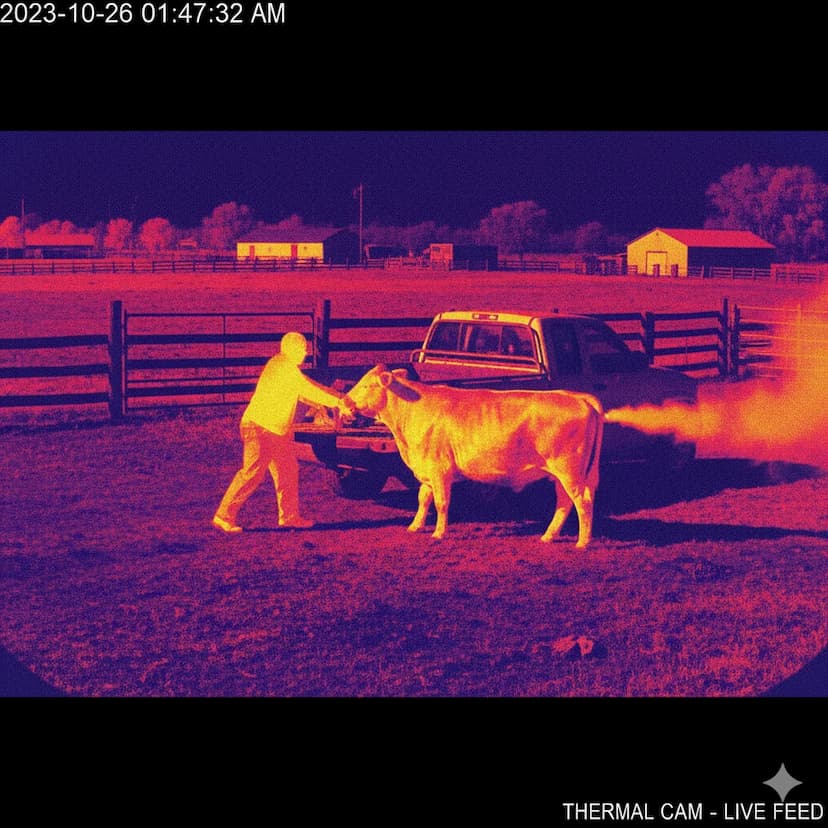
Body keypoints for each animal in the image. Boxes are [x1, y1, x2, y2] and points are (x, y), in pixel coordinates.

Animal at [340, 365, 604, 547]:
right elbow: (423, 499)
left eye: (366, 385)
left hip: (569, 472)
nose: (344, 401)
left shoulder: (439, 469)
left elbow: (441, 502)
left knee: (582, 502)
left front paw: (439, 532)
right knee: (564, 502)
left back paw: (583, 542)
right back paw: (548, 536)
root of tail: (575, 396)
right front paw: (415, 526)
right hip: (563, 475)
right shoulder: (427, 470)